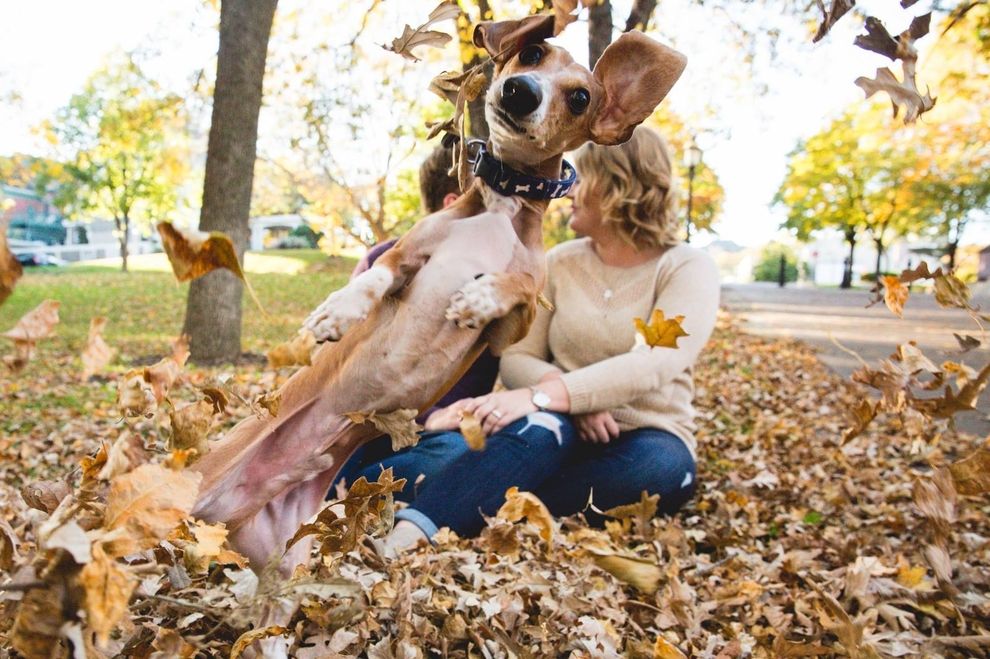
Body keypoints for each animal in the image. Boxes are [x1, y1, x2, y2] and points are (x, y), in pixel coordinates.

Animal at [192, 14, 688, 572]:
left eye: (581, 97)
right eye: (532, 53)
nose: (520, 91)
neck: (502, 203)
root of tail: (230, 518)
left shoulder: (509, 329)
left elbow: (516, 287)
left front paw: (480, 296)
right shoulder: (406, 256)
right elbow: (374, 278)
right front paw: (338, 312)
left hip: (286, 563)